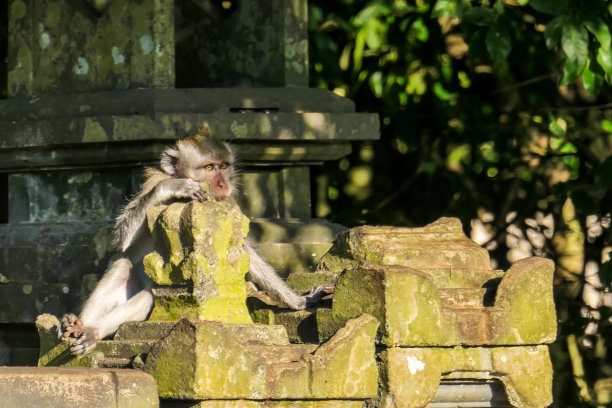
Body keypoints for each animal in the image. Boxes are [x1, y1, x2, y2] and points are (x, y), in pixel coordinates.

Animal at [59, 123, 332, 354]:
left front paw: (299, 301)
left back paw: (82, 328)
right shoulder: (152, 182)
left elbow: (241, 254)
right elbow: (123, 239)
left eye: (223, 166)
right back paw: (81, 325)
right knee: (124, 265)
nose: (222, 185)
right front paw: (173, 188)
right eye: (209, 168)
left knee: (143, 288)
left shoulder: (226, 205)